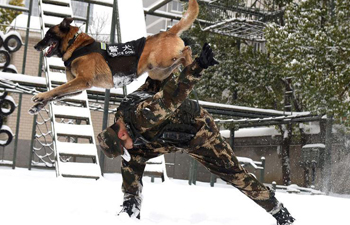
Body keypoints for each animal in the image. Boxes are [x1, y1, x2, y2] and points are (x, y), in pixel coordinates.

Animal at [30, 0, 198, 113]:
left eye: (49, 35)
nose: (35, 47)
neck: (75, 45)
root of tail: (167, 32)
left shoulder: (82, 80)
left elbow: (58, 89)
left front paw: (41, 96)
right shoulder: (78, 87)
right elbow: (58, 93)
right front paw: (38, 105)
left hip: (162, 60)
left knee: (186, 50)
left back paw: (193, 62)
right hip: (159, 71)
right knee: (179, 60)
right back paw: (189, 67)